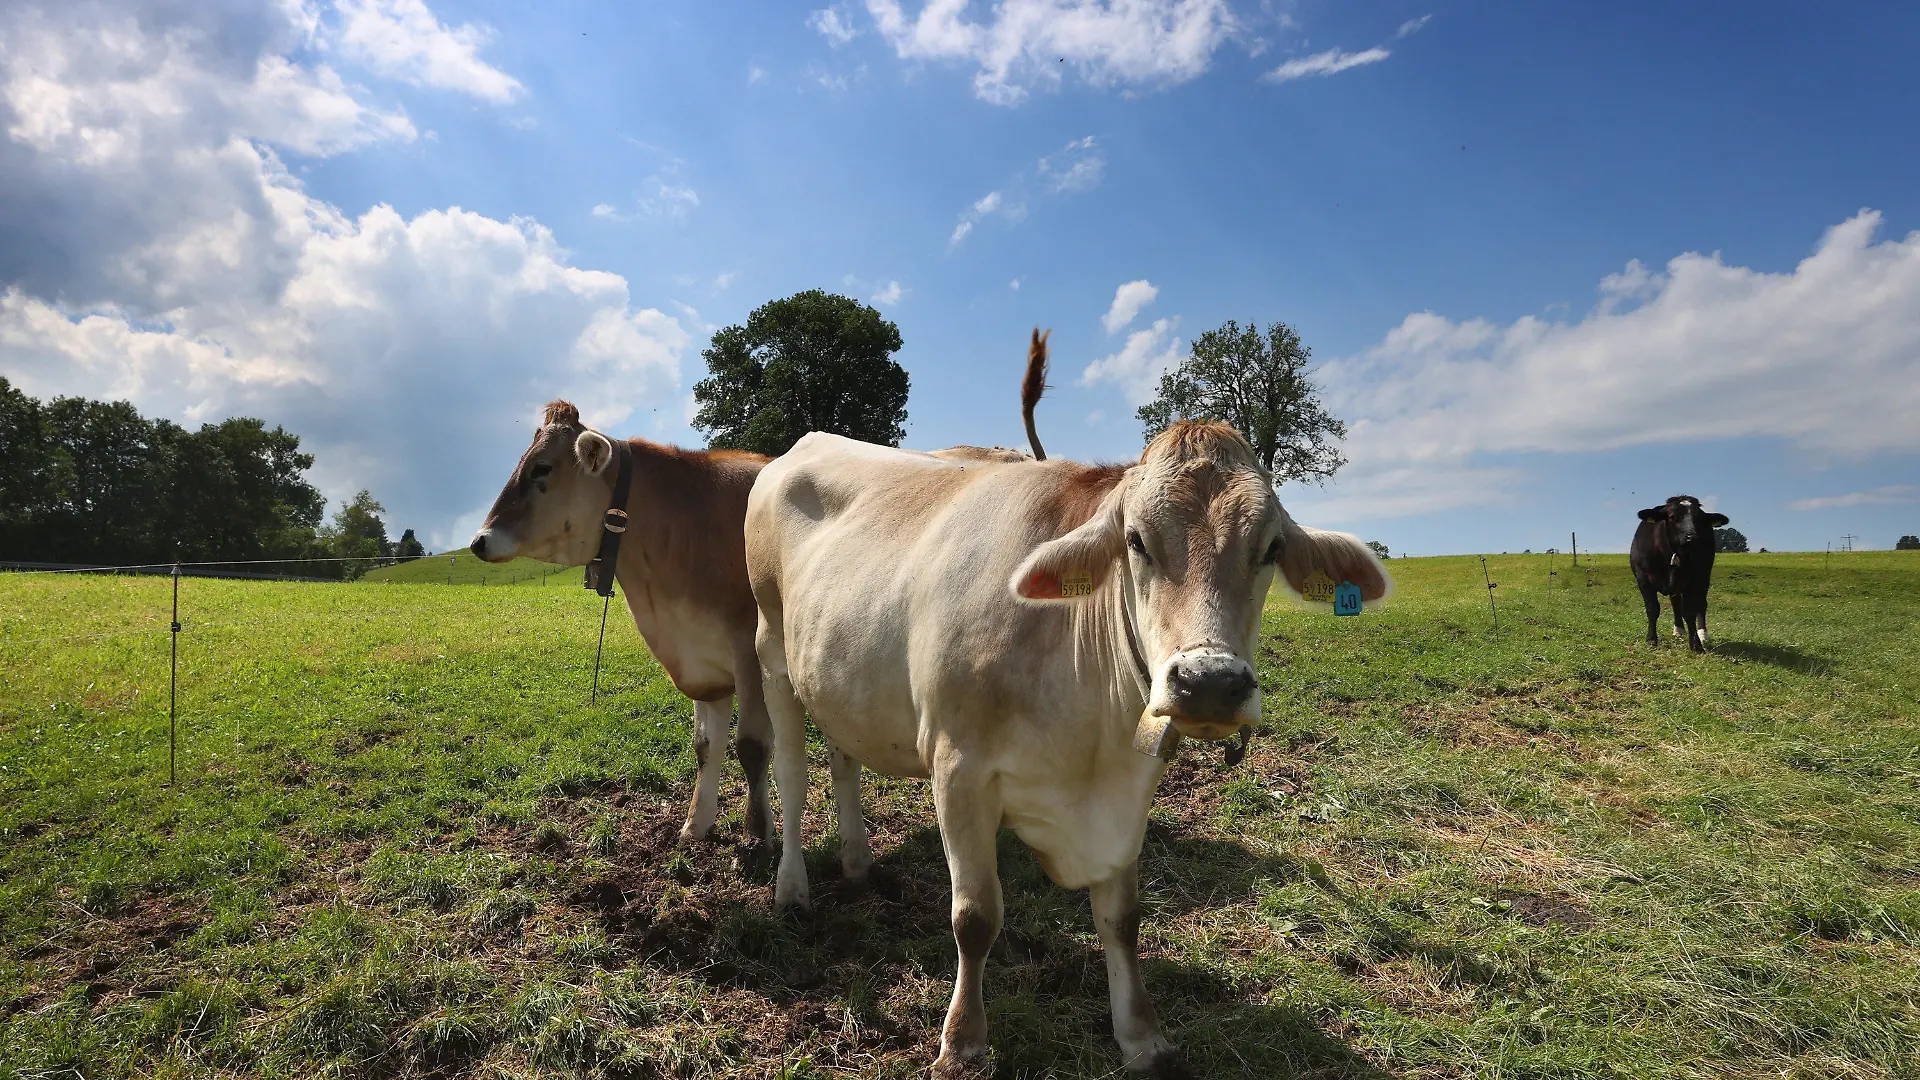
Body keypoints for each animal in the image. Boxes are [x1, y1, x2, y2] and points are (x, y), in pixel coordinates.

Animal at [466, 332, 1056, 849]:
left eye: (541, 468)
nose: (477, 540)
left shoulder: (747, 646)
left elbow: (751, 746)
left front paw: (760, 834)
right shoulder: (704, 660)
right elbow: (706, 747)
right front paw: (696, 825)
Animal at [744, 417, 1390, 1074]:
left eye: (1272, 548)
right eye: (1136, 542)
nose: (1209, 683)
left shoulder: (1127, 791)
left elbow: (1122, 918)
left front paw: (1141, 1036)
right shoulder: (958, 768)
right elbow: (975, 917)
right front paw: (963, 1041)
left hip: (838, 681)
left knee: (843, 759)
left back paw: (857, 863)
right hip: (772, 652)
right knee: (792, 775)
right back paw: (792, 889)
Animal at [1630, 494, 1728, 652]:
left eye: (1700, 518)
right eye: (1672, 516)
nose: (1693, 537)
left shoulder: (1694, 580)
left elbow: (1689, 611)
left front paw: (1696, 644)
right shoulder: (1643, 579)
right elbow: (1652, 609)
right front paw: (1651, 639)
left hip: (1704, 577)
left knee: (1701, 604)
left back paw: (1703, 634)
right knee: (1675, 602)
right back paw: (1679, 630)